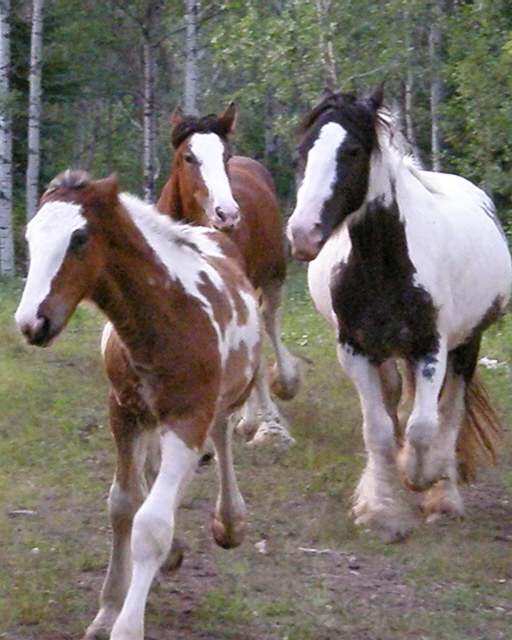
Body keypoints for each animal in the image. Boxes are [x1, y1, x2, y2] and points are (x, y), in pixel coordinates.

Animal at [14, 170, 262, 640]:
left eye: (79, 238)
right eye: (30, 236)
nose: (32, 322)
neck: (169, 316)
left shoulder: (189, 416)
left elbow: (151, 524)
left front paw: (127, 625)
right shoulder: (124, 412)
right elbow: (125, 504)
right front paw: (108, 609)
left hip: (225, 395)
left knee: (221, 436)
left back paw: (230, 520)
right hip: (151, 418)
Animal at [156, 105, 300, 444]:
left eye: (225, 156)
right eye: (188, 157)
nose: (227, 214)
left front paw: (259, 420)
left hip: (273, 277)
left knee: (268, 324)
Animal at [288, 87, 512, 544]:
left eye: (353, 151)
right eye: (303, 152)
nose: (302, 233)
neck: (385, 266)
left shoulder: (431, 348)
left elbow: (425, 424)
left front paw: (422, 477)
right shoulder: (355, 350)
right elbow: (378, 430)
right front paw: (380, 509)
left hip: (465, 345)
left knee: (448, 413)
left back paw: (443, 495)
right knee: (393, 407)